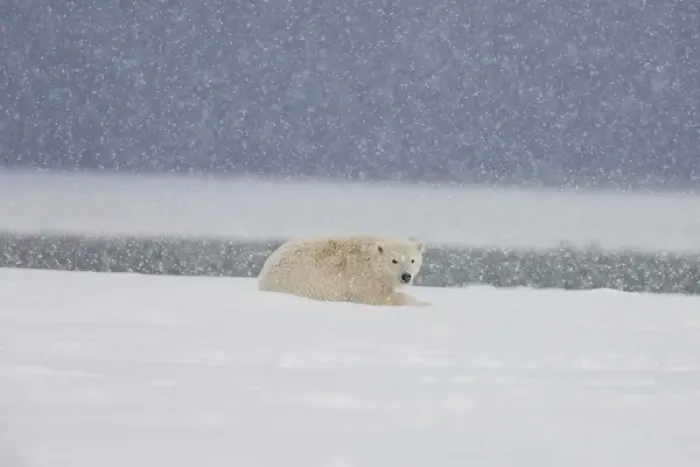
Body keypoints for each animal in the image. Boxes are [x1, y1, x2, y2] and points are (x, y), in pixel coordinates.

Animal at [257, 235, 429, 307]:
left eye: (412, 260)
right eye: (394, 260)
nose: (406, 276)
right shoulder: (363, 278)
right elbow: (376, 297)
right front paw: (425, 304)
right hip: (300, 280)